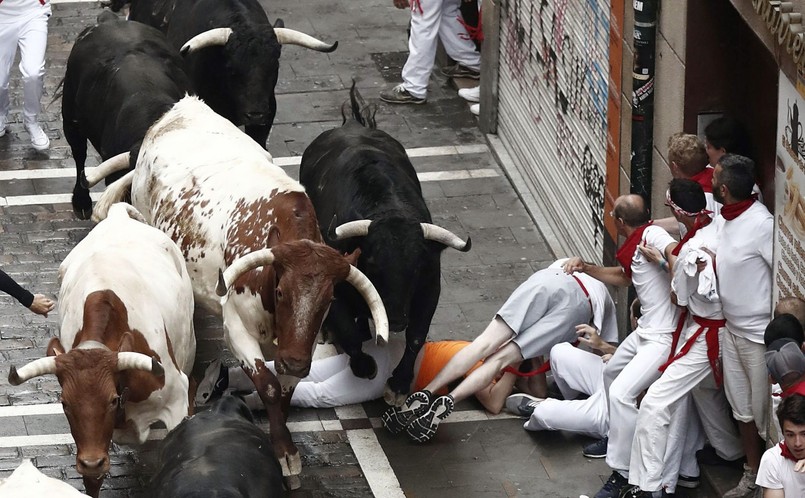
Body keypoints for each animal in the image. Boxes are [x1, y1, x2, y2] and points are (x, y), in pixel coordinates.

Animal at [86, 96, 388, 486]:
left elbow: (287, 390)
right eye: (281, 291)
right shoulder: (237, 328)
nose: (294, 361)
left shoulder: (300, 343)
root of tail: (183, 106)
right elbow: (269, 386)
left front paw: (286, 447)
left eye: (330, 299)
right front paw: (285, 453)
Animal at [298, 85, 468, 404]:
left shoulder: (430, 287)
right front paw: (364, 365)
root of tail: (353, 124)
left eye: (416, 268)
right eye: (373, 264)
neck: (386, 207)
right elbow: (348, 330)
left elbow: (416, 335)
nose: (396, 319)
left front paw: (398, 385)